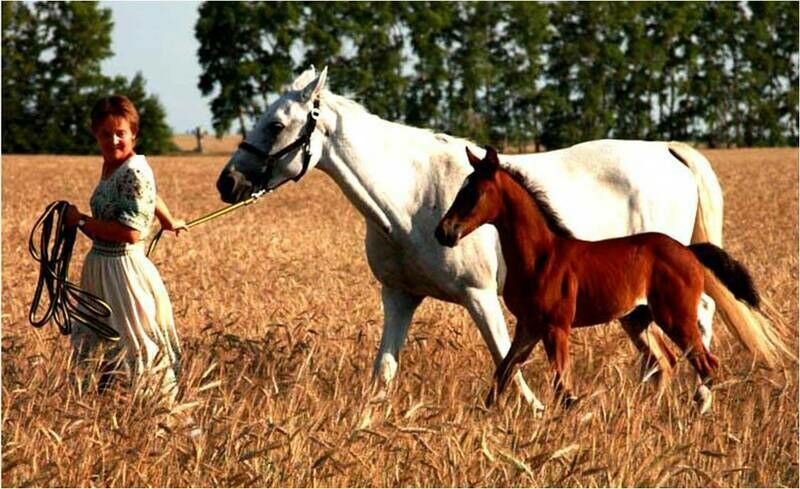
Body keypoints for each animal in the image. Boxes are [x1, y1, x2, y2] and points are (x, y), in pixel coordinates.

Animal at [436, 147, 764, 412]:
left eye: (474, 193)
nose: (444, 232)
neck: (541, 256)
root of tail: (688, 251)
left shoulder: (557, 327)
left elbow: (562, 389)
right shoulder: (528, 326)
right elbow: (502, 375)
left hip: (676, 316)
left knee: (706, 364)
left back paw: (695, 413)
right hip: (637, 317)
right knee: (666, 361)